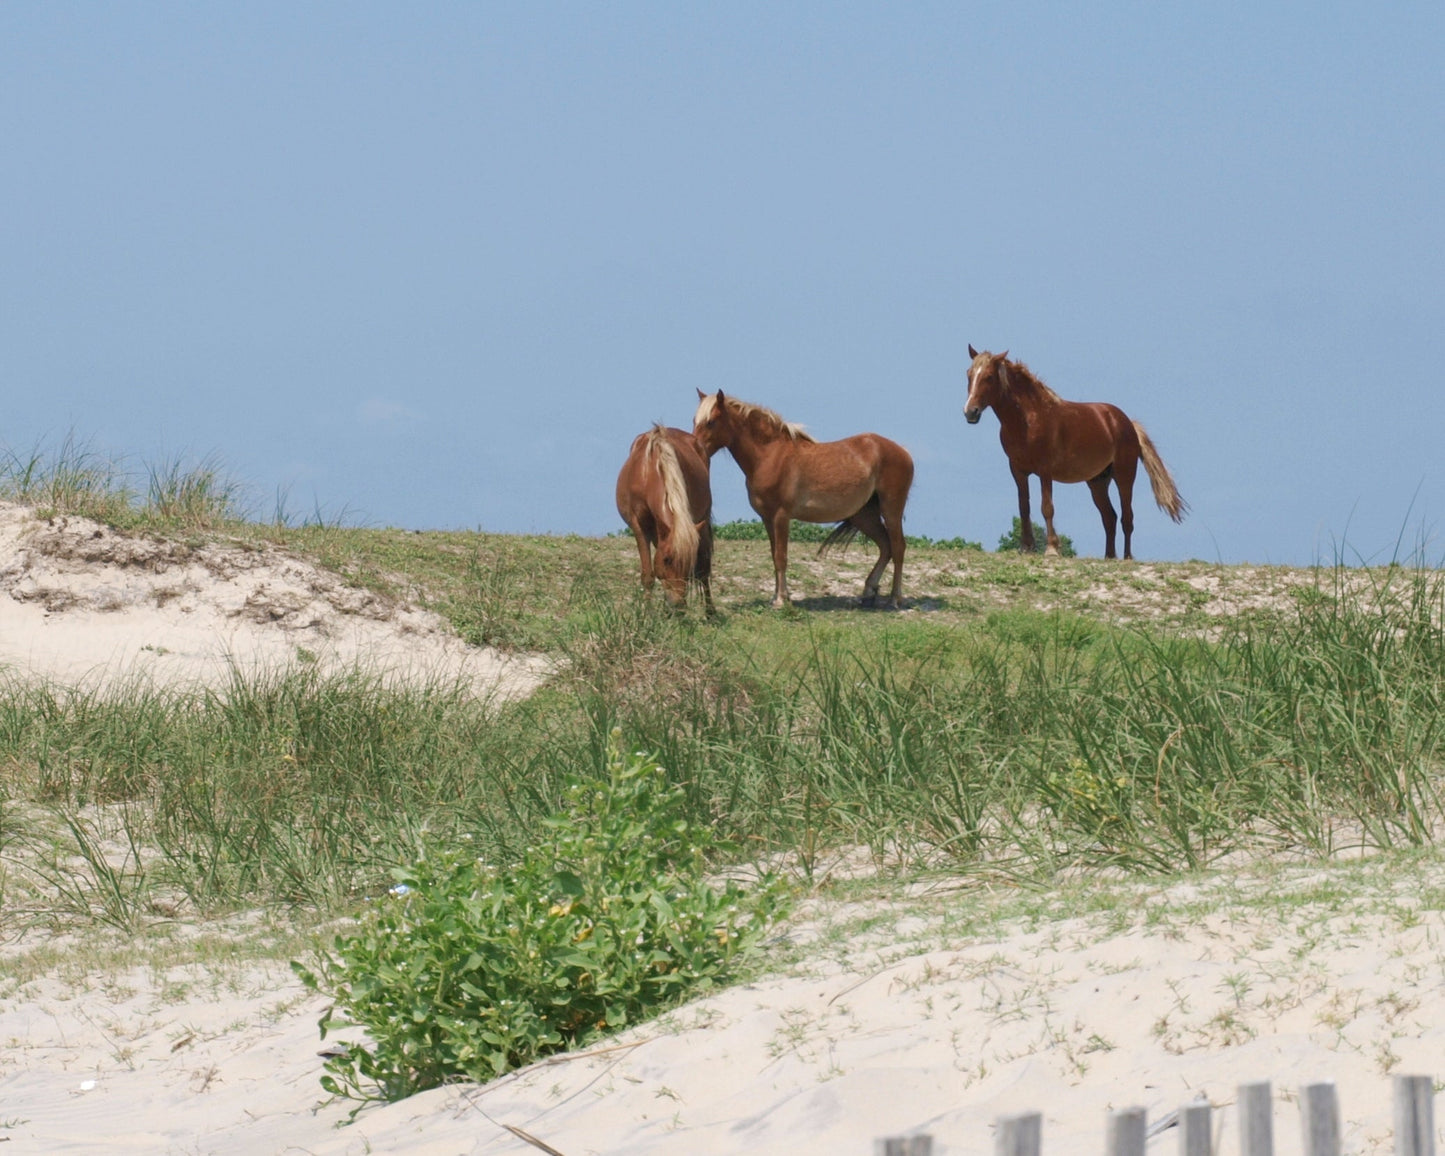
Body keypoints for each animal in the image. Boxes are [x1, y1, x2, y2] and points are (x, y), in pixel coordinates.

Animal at [615, 419, 716, 609]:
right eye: (667, 559)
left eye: (688, 561)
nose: (678, 605)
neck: (649, 472)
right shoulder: (639, 526)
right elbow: (648, 575)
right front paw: (647, 613)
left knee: (704, 570)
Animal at [690, 387, 913, 609]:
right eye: (695, 420)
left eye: (711, 422)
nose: (696, 449)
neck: (770, 456)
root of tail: (903, 451)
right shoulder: (767, 518)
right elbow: (774, 556)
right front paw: (777, 597)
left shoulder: (781, 516)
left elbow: (781, 557)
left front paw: (781, 600)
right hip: (864, 515)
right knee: (885, 546)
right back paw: (868, 592)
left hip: (891, 509)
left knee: (898, 547)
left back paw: (895, 598)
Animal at [959, 343, 1184, 560]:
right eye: (969, 374)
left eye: (988, 376)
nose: (970, 412)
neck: (1027, 419)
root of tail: (1126, 422)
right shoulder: (1018, 471)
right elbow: (1024, 507)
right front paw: (1026, 547)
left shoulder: (1045, 471)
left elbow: (1046, 507)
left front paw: (1051, 549)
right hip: (1097, 482)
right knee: (1109, 517)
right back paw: (1109, 556)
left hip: (1124, 476)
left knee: (1126, 517)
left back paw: (1127, 557)